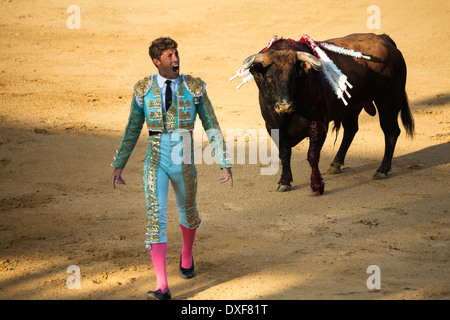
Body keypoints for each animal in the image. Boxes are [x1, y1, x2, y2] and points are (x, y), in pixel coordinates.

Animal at [237, 34, 414, 195]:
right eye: (268, 77)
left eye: (294, 75)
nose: (284, 105)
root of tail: (385, 39)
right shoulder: (273, 127)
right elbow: (284, 154)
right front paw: (284, 182)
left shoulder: (318, 124)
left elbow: (312, 155)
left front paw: (317, 186)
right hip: (352, 107)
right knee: (351, 130)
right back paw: (336, 164)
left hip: (389, 100)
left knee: (391, 131)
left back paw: (382, 170)